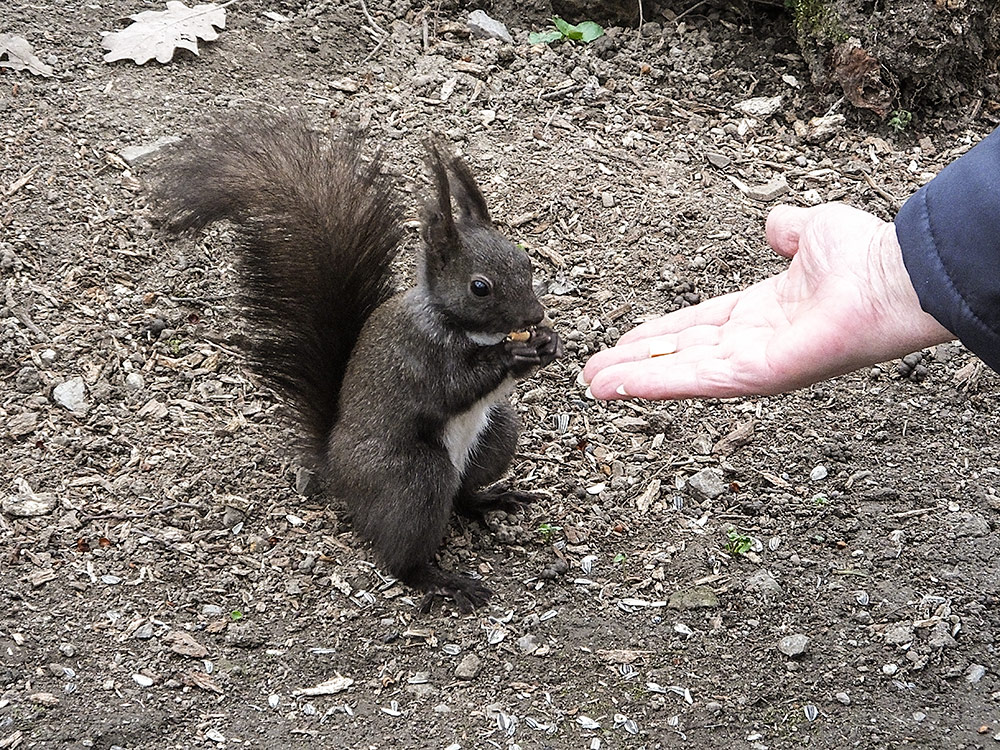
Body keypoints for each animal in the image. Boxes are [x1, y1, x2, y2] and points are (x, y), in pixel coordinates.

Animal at [154, 116, 564, 612]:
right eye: (479, 287)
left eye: (525, 259)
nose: (534, 316)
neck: (465, 327)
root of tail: (336, 468)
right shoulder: (419, 353)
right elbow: (454, 386)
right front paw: (512, 352)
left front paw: (548, 344)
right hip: (415, 478)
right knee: (405, 552)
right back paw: (441, 580)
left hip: (497, 435)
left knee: (462, 494)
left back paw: (486, 500)